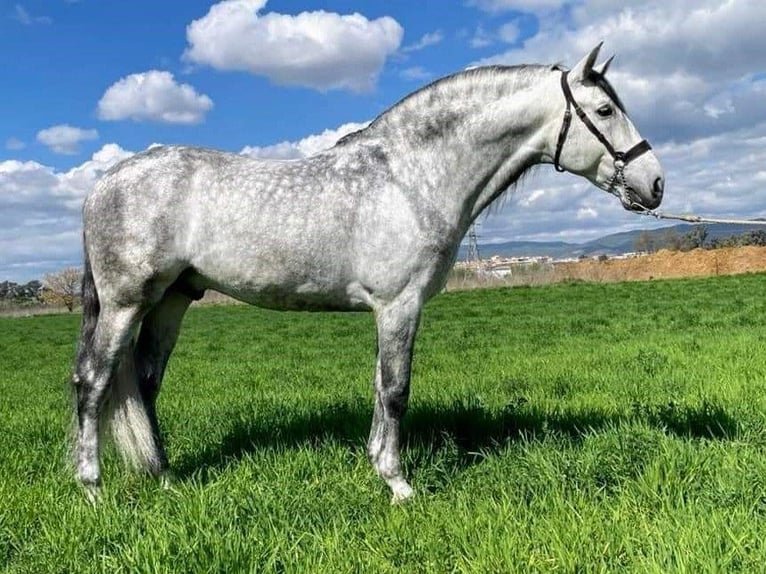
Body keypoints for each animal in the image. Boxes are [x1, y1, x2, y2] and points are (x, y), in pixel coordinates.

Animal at [70, 46, 664, 504]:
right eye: (604, 109)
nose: (655, 183)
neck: (409, 176)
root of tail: (105, 182)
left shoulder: (392, 309)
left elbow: (380, 387)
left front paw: (379, 464)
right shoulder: (399, 304)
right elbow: (396, 389)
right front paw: (399, 485)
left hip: (172, 300)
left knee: (145, 385)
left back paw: (165, 478)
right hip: (125, 302)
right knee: (93, 381)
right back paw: (93, 489)